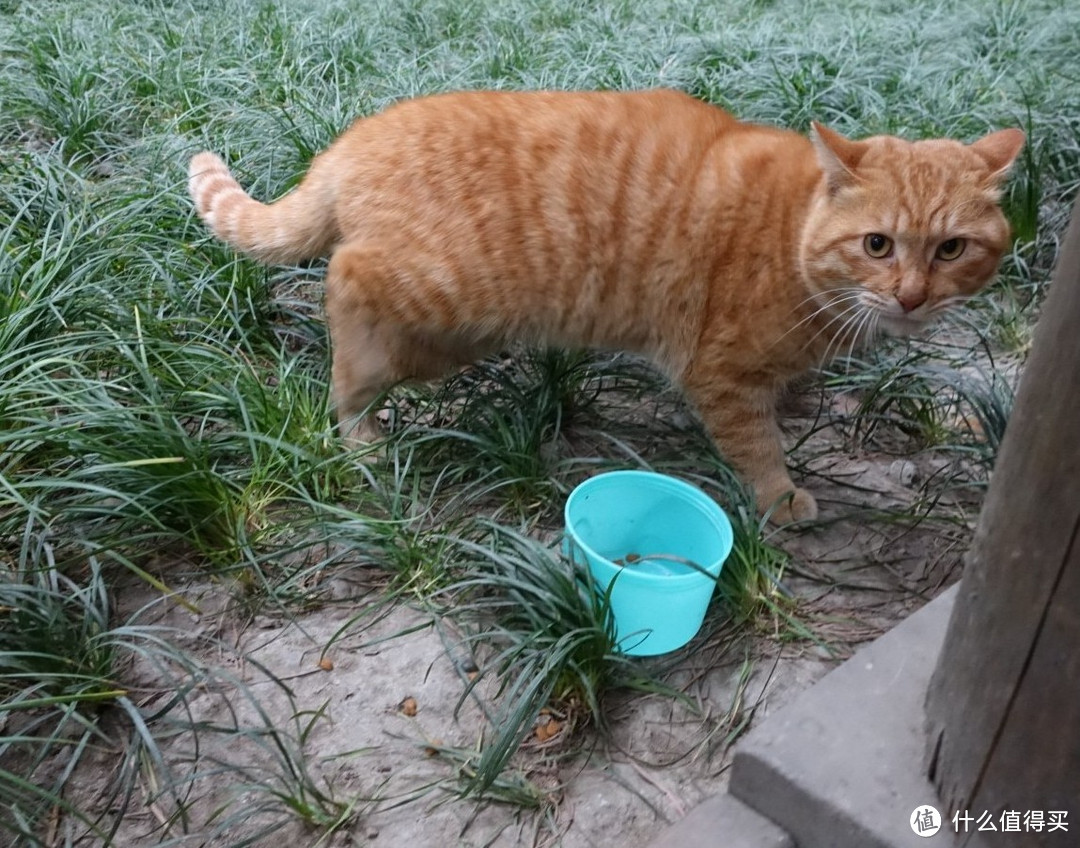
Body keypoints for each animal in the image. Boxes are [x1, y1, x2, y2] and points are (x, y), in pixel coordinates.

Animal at [190, 87, 1023, 522]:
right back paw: (358, 421)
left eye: (952, 250)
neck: (792, 237)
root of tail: (351, 140)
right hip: (436, 299)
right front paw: (781, 495)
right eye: (879, 245)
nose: (911, 298)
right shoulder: (717, 373)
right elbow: (755, 445)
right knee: (342, 282)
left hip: (453, 334)